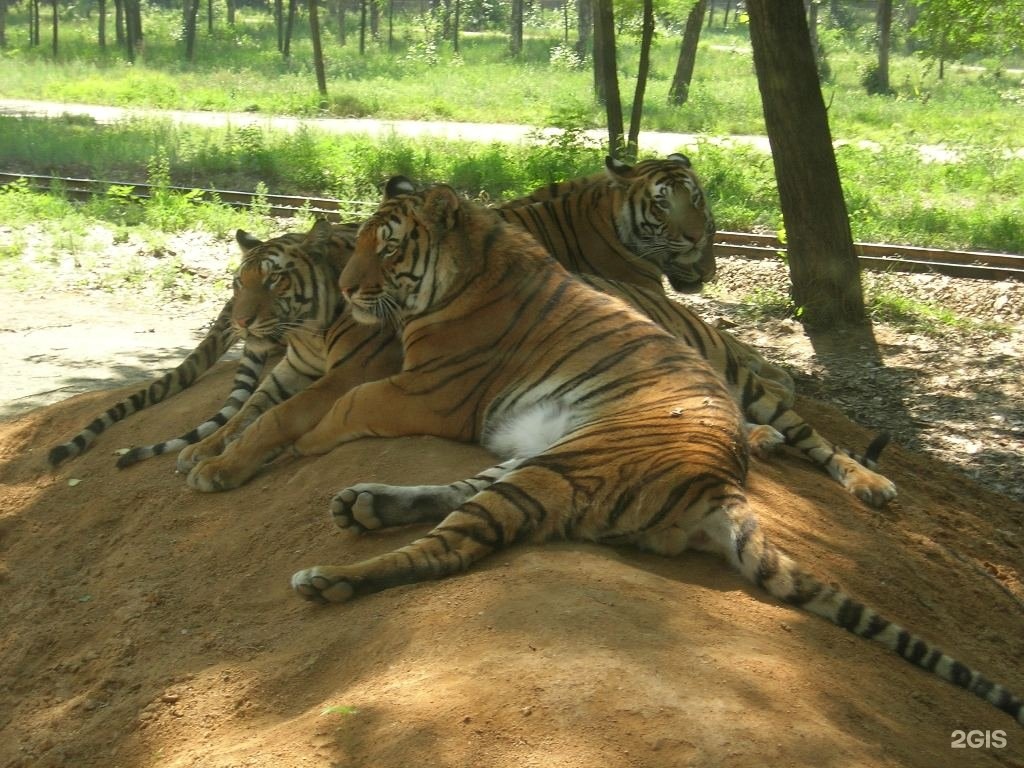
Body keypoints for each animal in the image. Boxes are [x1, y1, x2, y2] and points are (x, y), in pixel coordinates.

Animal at [286, 180, 1024, 729]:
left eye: (386, 249)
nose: (346, 289)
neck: (473, 262)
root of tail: (725, 484)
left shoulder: (423, 389)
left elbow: (335, 411)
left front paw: (295, 444)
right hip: (544, 453)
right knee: (455, 496)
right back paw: (364, 505)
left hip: (565, 461)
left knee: (452, 546)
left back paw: (330, 577)